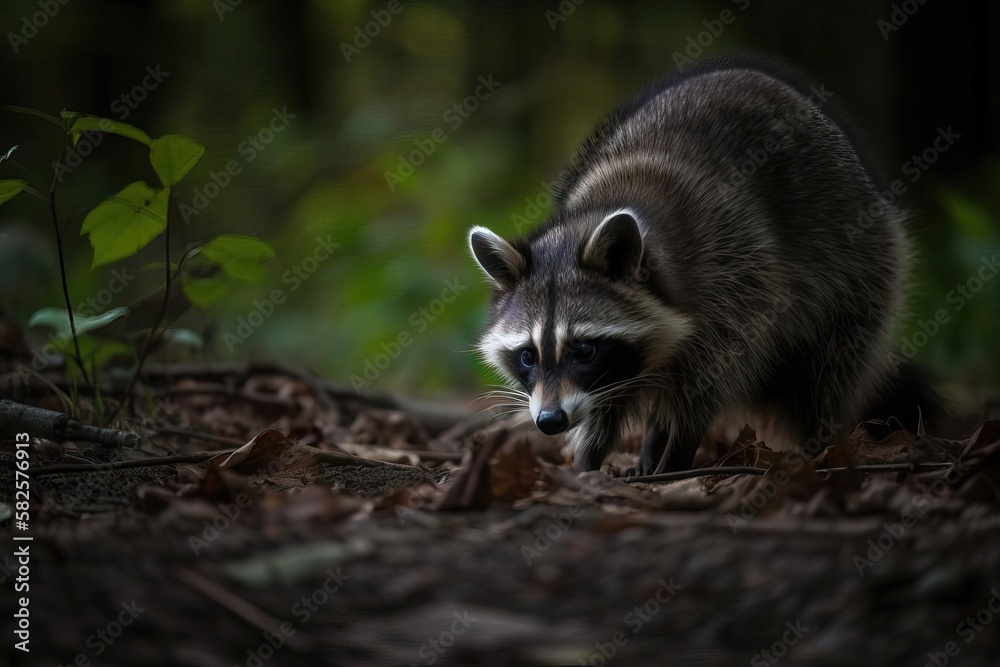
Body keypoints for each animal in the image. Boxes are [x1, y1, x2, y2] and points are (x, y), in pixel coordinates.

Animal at [467, 57, 935, 475]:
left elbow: (713, 379)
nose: (550, 421)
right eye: (527, 355)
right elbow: (605, 406)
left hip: (863, 267)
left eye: (584, 349)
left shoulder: (738, 277)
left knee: (831, 369)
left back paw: (816, 446)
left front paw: (677, 451)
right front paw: (589, 461)